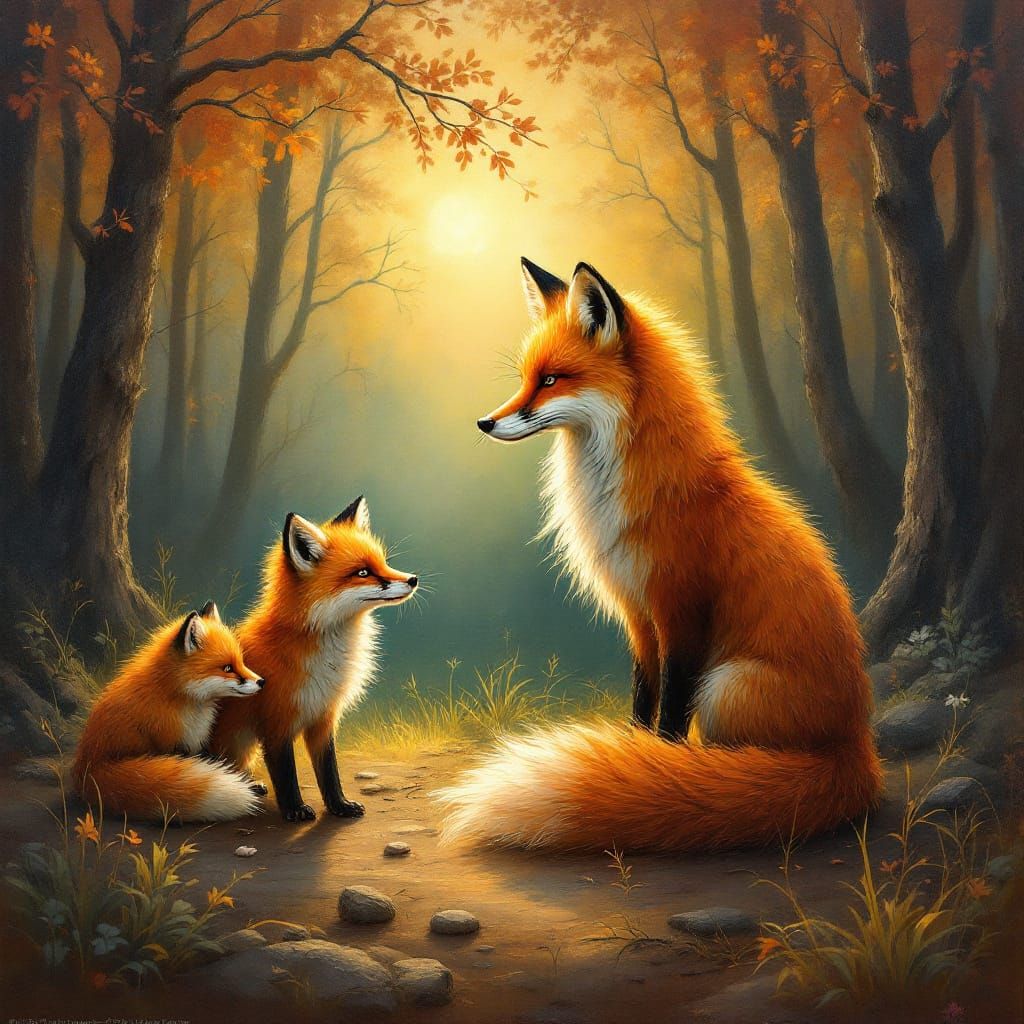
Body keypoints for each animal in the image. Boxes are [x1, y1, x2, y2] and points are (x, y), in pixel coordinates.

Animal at [208, 498, 419, 822]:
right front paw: (294, 809)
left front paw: (339, 806)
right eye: (362, 573)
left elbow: (329, 770)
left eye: (383, 563)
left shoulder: (323, 715)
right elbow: (286, 774)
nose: (413, 579)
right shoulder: (277, 720)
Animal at [438, 257, 883, 853]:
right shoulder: (638, 615)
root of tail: (857, 749)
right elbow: (641, 700)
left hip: (726, 687)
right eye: (525, 378)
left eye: (551, 379)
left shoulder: (681, 613)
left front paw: (660, 776)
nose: (484, 423)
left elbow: (670, 712)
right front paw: (632, 764)